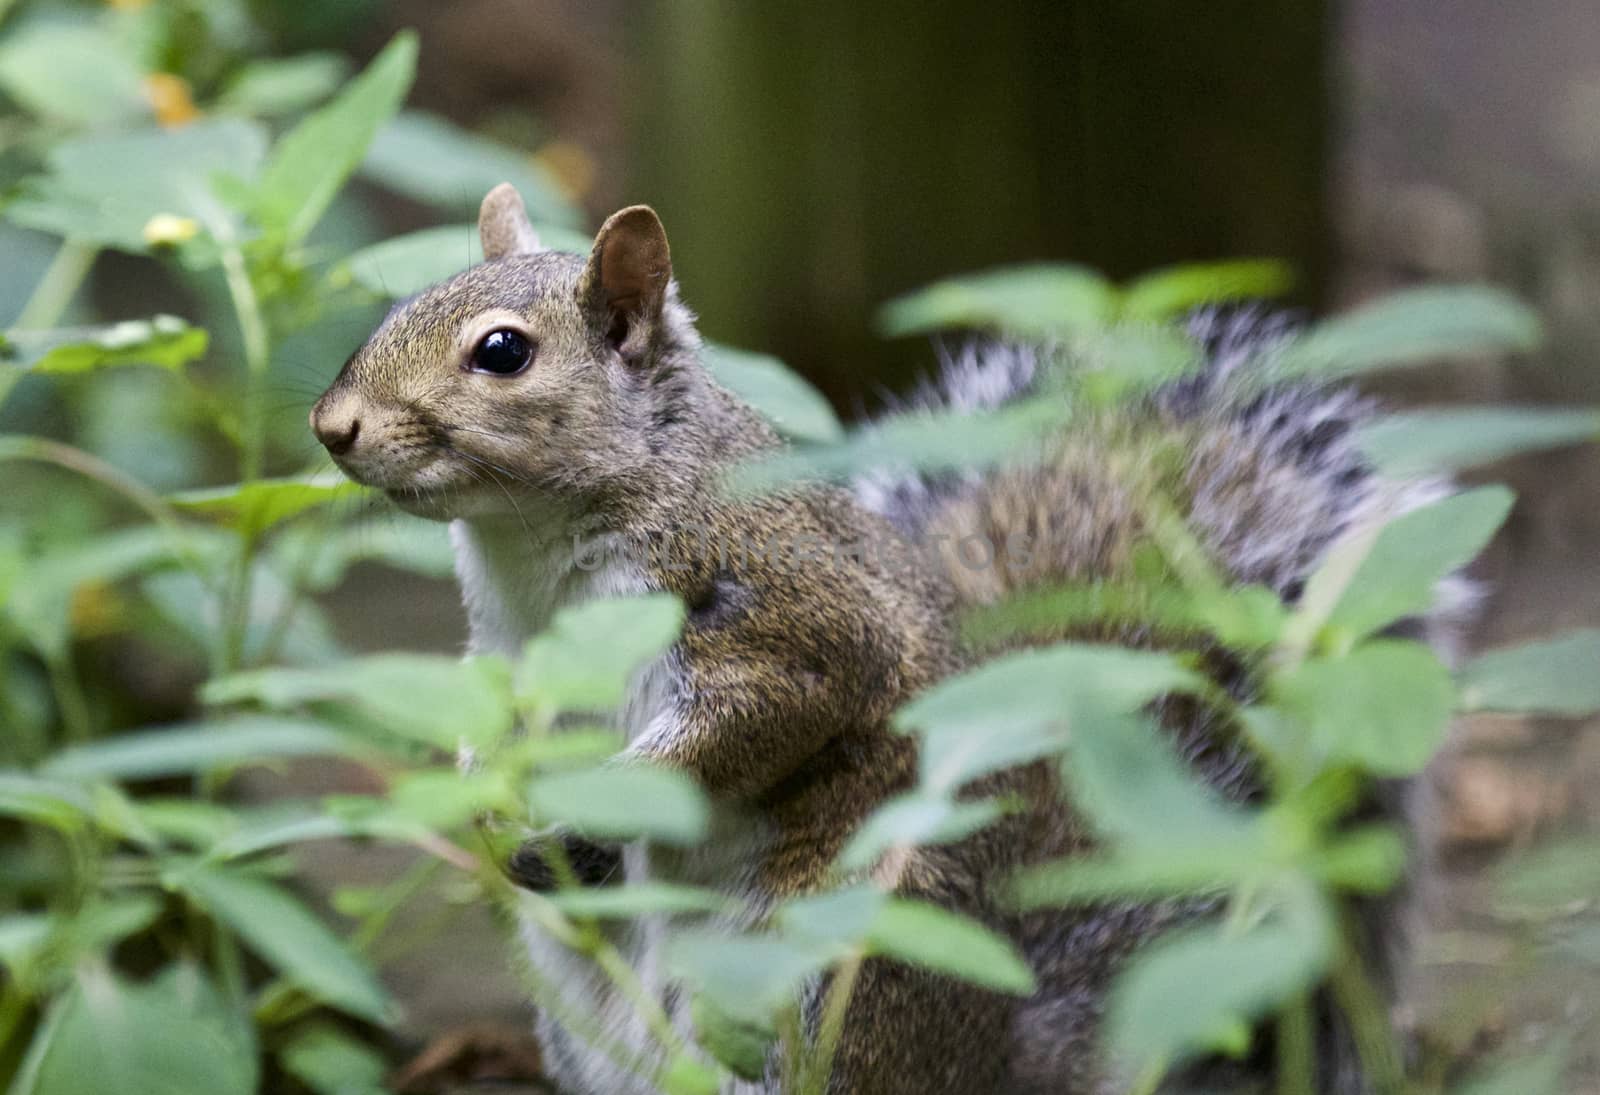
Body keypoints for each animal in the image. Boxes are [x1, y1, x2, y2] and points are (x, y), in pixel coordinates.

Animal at [308, 184, 1465, 1088]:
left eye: (502, 352)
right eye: (402, 304)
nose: (332, 427)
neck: (535, 541)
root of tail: (990, 1061)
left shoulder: (787, 616)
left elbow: (754, 717)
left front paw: (589, 818)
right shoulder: (504, 658)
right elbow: (482, 726)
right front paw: (476, 808)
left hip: (815, 968)